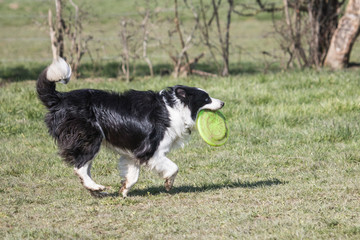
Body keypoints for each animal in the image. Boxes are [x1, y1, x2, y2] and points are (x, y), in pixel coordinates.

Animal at [35, 58, 222, 197]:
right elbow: (173, 167)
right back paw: (96, 187)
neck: (174, 108)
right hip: (89, 137)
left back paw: (95, 190)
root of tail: (60, 98)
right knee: (79, 167)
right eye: (206, 98)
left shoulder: (134, 152)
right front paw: (169, 183)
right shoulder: (152, 150)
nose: (223, 103)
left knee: (84, 166)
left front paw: (124, 191)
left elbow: (132, 176)